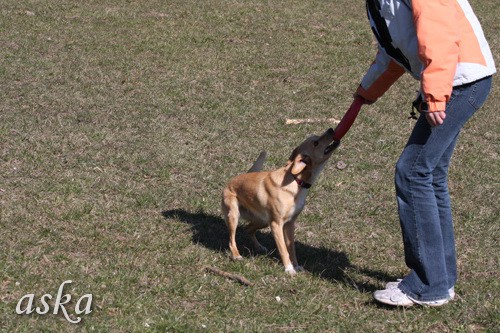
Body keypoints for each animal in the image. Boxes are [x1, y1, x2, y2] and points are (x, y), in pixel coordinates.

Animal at [223, 128, 340, 274]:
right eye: (316, 142)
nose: (331, 129)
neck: (296, 181)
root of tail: (232, 181)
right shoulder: (276, 224)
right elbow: (283, 249)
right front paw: (289, 269)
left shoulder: (289, 223)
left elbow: (291, 248)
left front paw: (296, 266)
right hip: (234, 215)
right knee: (231, 239)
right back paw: (236, 255)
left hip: (262, 221)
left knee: (248, 229)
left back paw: (259, 247)